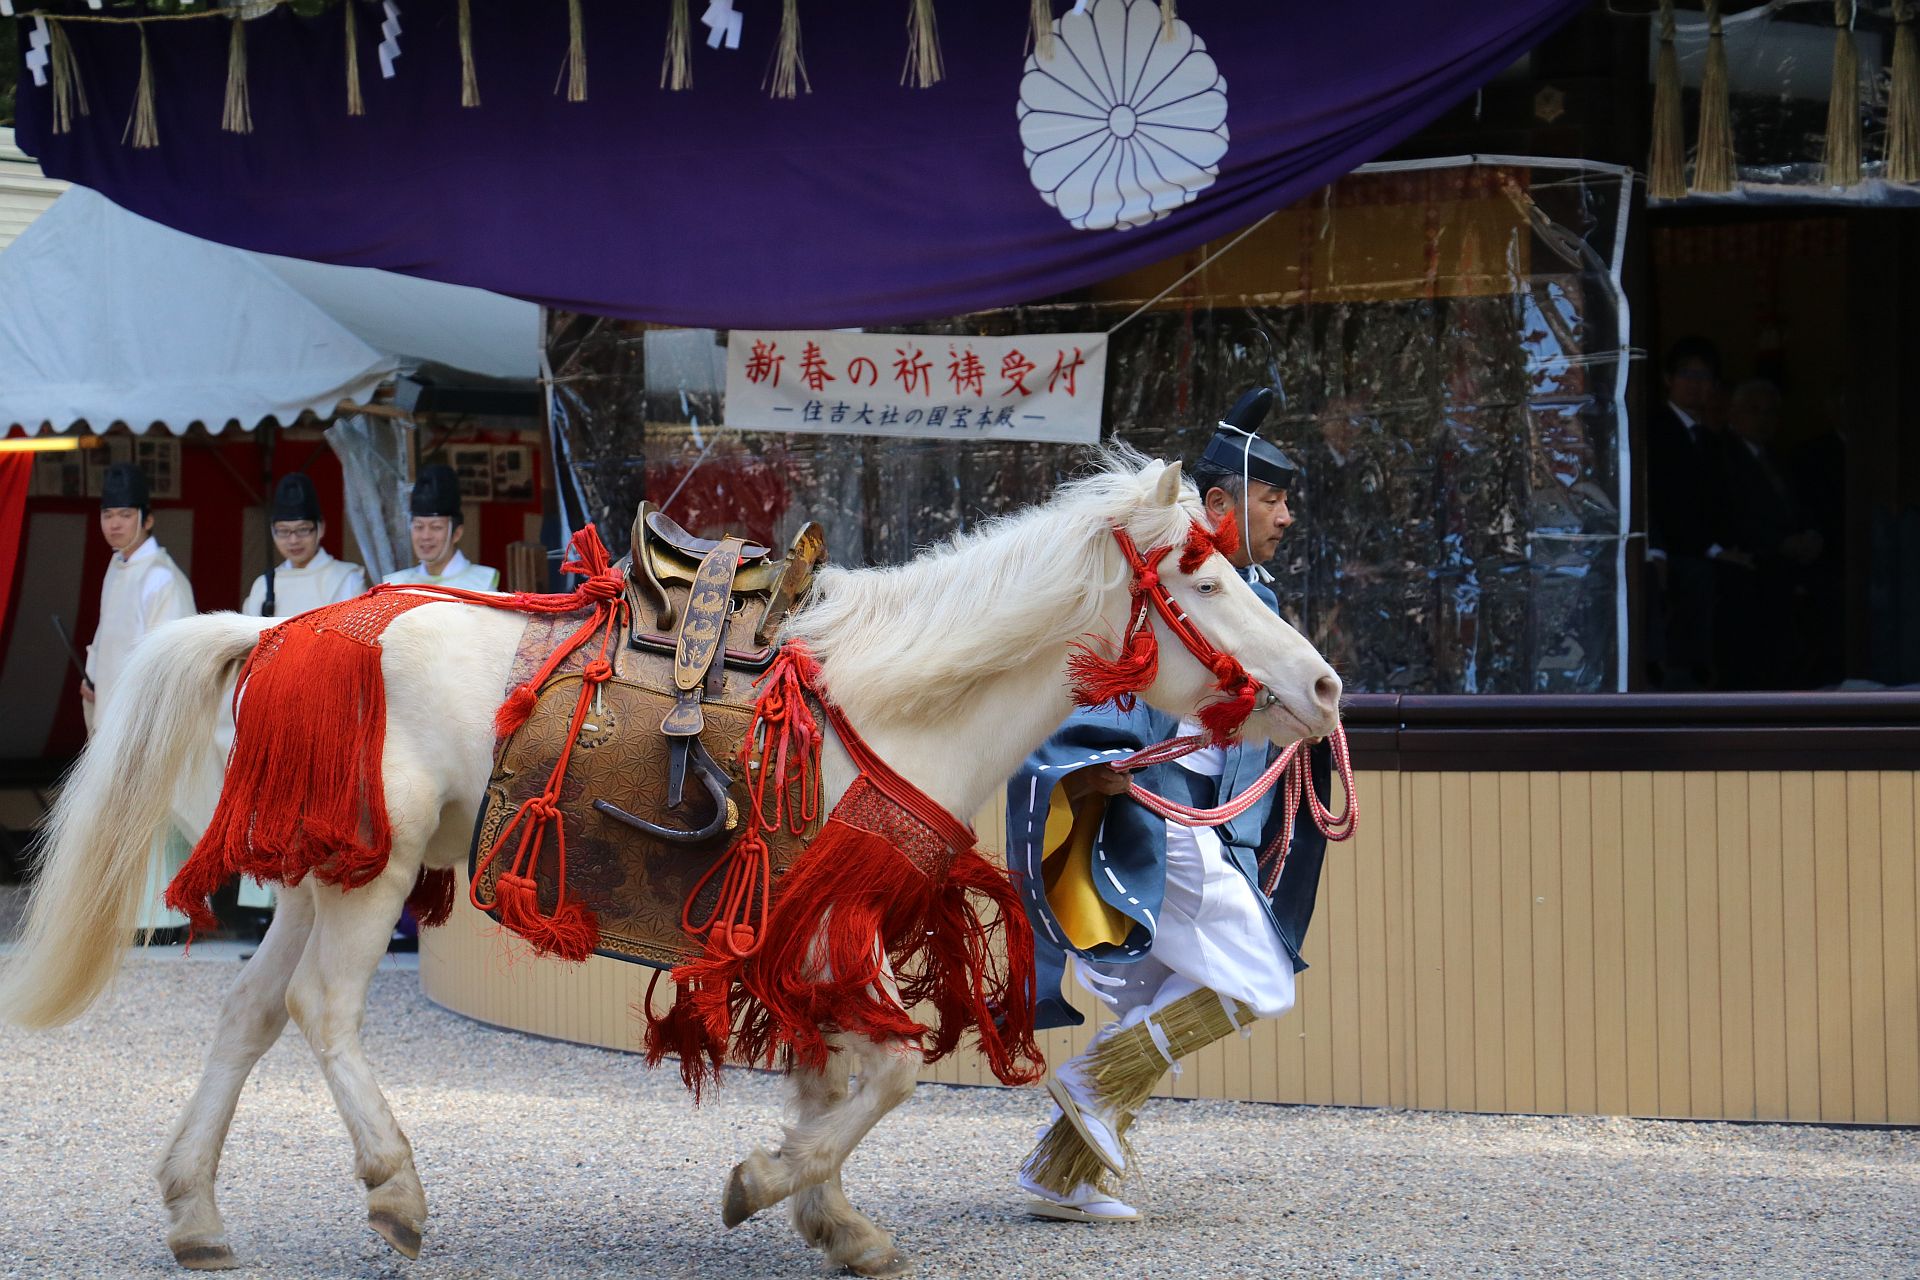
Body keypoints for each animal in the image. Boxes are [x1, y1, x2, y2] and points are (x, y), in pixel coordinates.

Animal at [0, 450, 1336, 1274]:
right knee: (325, 1006)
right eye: (1207, 575)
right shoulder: (828, 914)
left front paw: (834, 1216)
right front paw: (768, 1180)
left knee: (250, 1009)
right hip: (368, 869)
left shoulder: (812, 921)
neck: (899, 696)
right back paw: (393, 1186)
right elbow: (888, 1073)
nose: (1324, 688)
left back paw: (196, 1210)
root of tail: (284, 627)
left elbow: (841, 1067)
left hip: (326, 866)